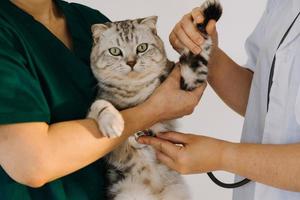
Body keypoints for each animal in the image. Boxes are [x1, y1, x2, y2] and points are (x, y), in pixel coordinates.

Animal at [87, 0, 223, 199]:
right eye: (115, 51)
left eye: (142, 47)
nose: (131, 62)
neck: (135, 92)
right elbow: (98, 105)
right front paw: (113, 123)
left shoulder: (190, 80)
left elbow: (195, 53)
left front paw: (207, 14)